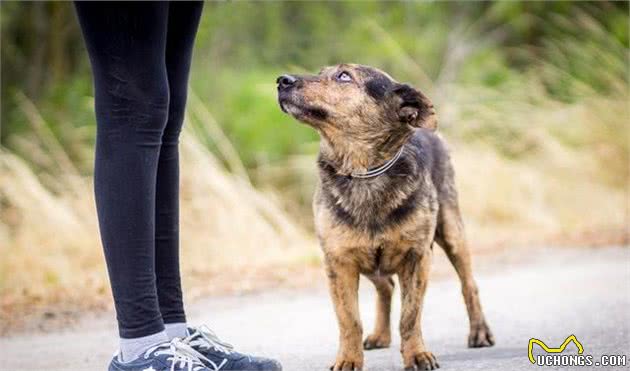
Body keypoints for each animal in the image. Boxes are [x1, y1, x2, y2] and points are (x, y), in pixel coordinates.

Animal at [278, 65, 496, 370]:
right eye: (321, 71)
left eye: (344, 76)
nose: (281, 80)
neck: (363, 173)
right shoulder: (339, 262)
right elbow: (349, 320)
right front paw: (348, 359)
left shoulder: (417, 259)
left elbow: (410, 316)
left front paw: (417, 355)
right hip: (370, 262)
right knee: (387, 287)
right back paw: (381, 334)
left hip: (452, 232)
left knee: (469, 285)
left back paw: (479, 332)